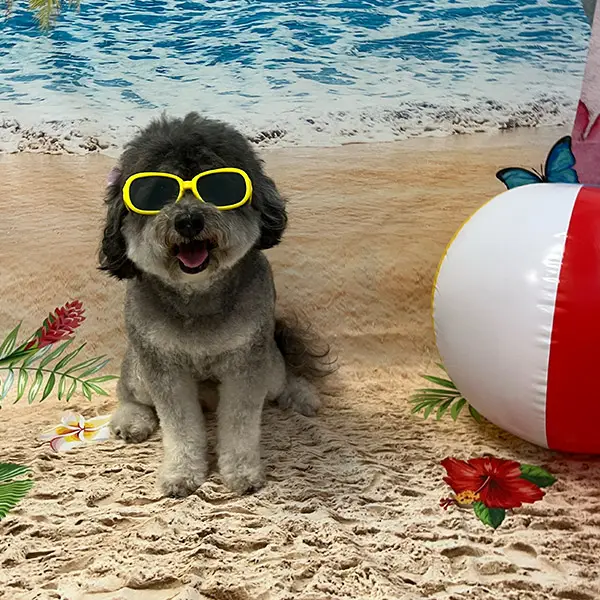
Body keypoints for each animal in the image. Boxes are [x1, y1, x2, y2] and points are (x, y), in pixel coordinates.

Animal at [99, 111, 332, 496]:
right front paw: (181, 473)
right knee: (128, 393)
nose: (188, 220)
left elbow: (240, 423)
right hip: (138, 372)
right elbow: (180, 428)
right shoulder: (163, 368)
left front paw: (241, 473)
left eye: (220, 187)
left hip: (269, 367)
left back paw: (301, 395)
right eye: (156, 192)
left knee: (283, 377)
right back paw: (131, 419)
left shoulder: (246, 363)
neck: (199, 297)